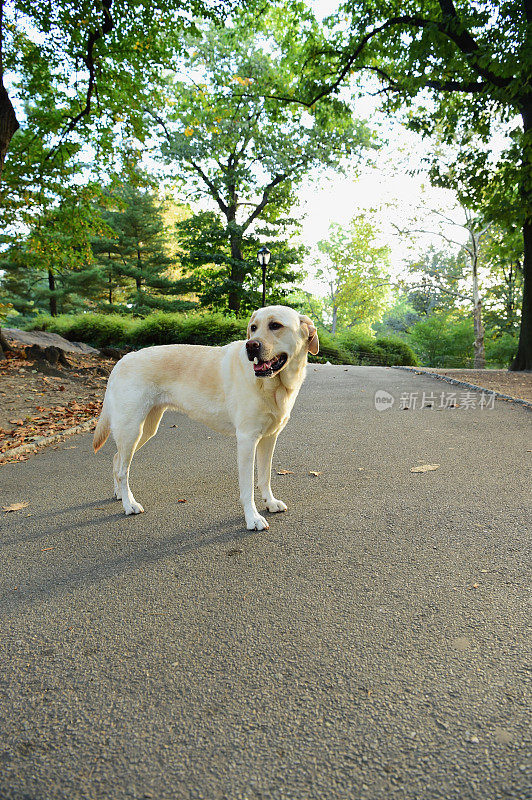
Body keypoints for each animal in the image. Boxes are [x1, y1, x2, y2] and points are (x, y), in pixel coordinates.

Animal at [93, 310, 318, 528]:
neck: (275, 385)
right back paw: (129, 503)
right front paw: (252, 518)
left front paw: (270, 502)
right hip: (131, 429)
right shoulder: (247, 439)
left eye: (275, 325)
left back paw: (119, 495)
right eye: (253, 328)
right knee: (123, 470)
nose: (251, 345)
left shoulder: (269, 438)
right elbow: (248, 487)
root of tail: (122, 360)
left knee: (116, 458)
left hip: (146, 429)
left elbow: (265, 477)